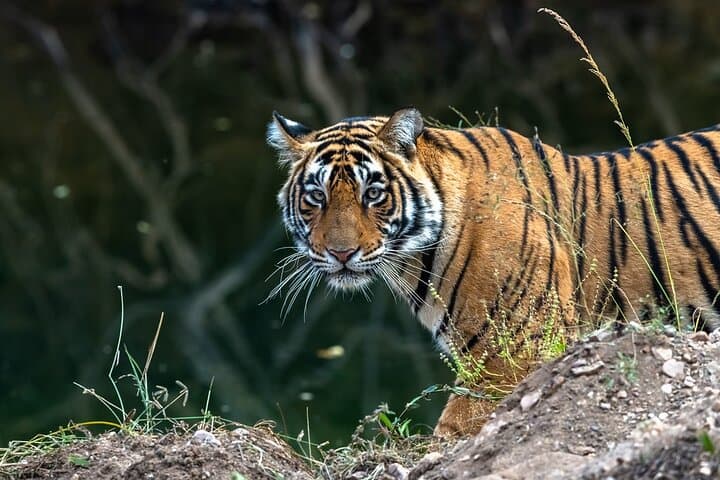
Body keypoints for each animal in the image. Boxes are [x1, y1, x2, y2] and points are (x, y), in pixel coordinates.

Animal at [266, 107, 720, 436]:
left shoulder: (515, 353)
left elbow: (453, 431)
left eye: (373, 194)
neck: (414, 260)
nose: (341, 253)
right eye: (316, 197)